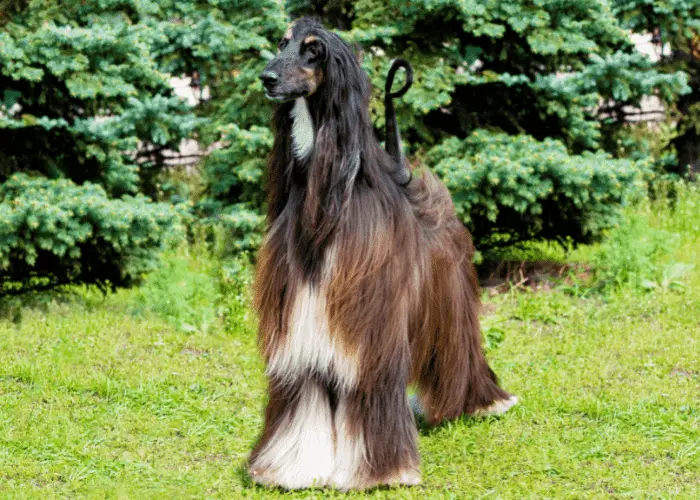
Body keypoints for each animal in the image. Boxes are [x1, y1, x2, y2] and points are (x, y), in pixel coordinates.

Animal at [249, 17, 516, 490]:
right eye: (282, 44)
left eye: (313, 52)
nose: (267, 78)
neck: (327, 197)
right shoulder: (303, 338)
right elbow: (303, 406)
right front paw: (291, 469)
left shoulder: (371, 339)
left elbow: (370, 397)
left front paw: (382, 472)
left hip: (452, 305)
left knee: (462, 353)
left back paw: (486, 402)